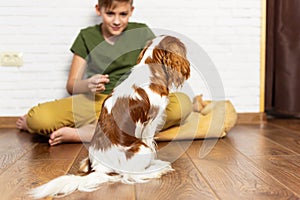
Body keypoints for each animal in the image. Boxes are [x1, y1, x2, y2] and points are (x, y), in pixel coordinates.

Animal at [29, 34, 190, 198]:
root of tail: (100, 169)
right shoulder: (150, 124)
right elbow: (151, 144)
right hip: (141, 148)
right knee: (131, 174)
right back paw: (159, 169)